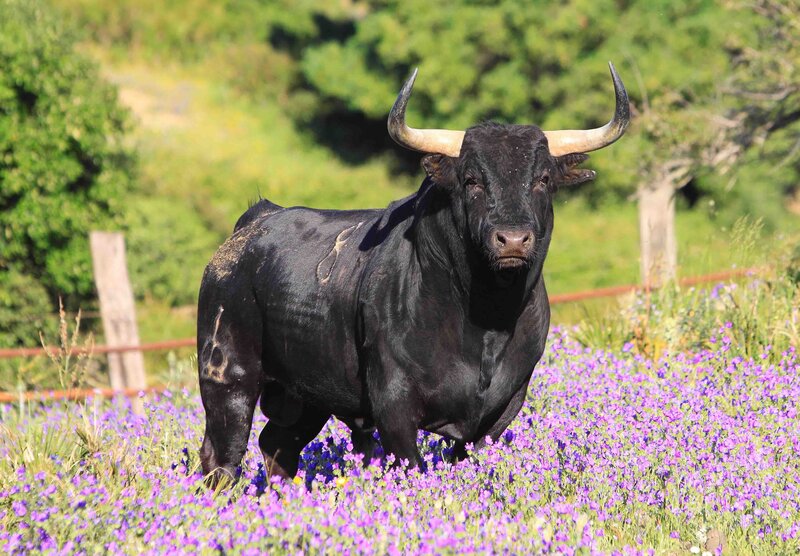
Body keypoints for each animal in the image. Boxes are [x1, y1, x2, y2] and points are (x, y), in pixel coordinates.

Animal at [197, 62, 629, 482]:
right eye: (471, 180)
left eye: (542, 179)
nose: (512, 240)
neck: (486, 320)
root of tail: (254, 222)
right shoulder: (394, 405)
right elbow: (411, 466)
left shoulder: (501, 409)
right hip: (228, 375)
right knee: (222, 458)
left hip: (303, 394)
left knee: (278, 446)